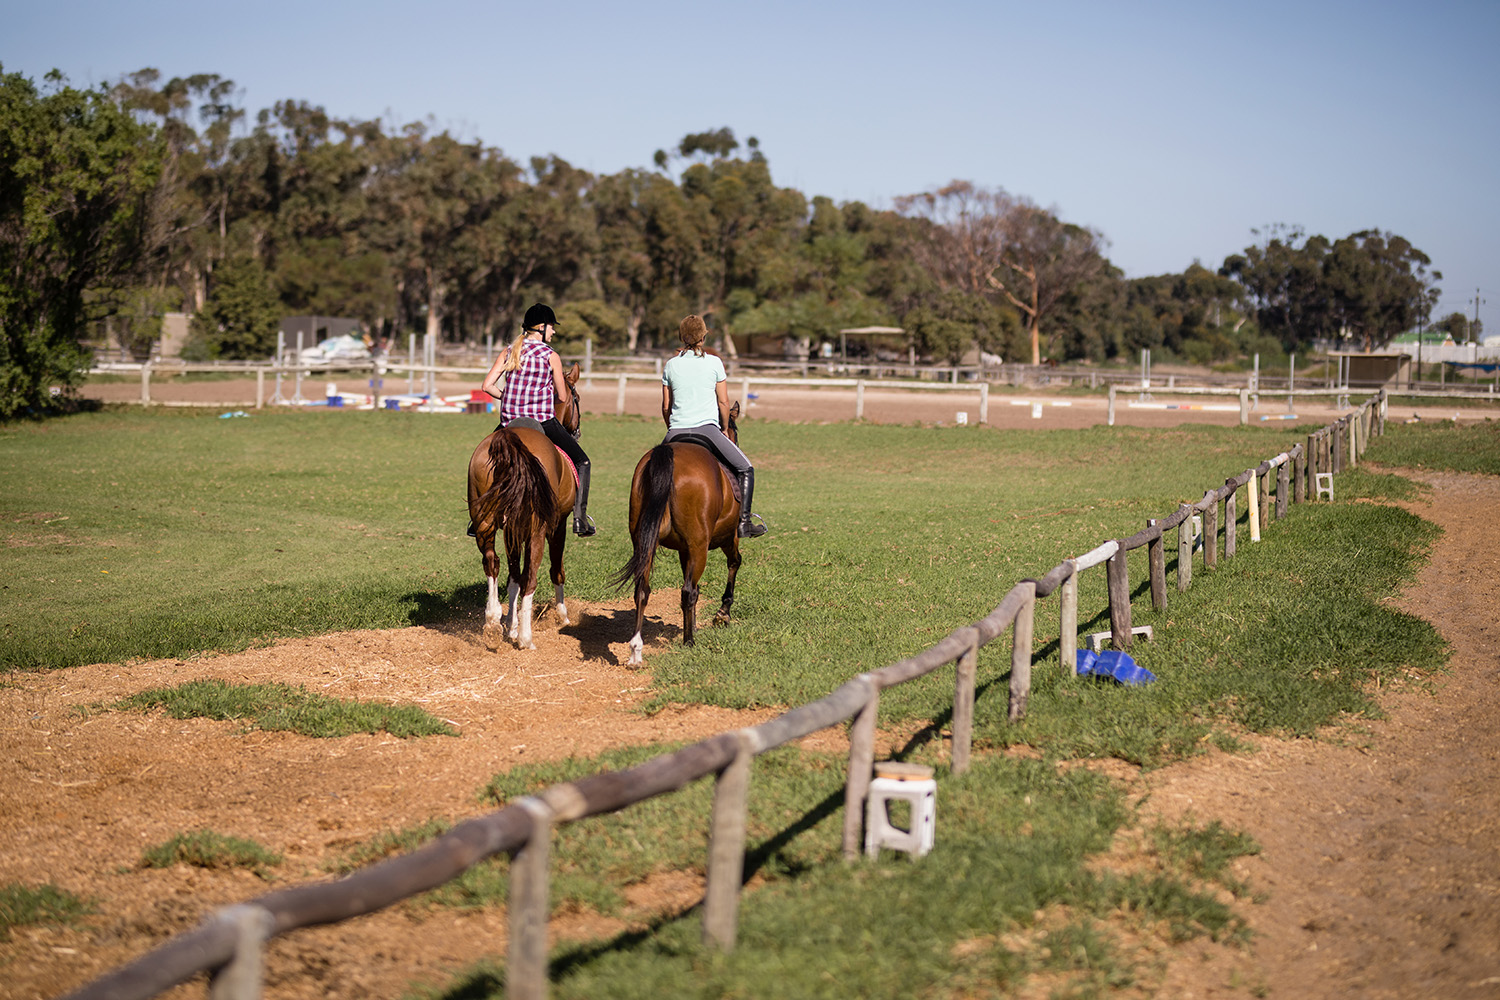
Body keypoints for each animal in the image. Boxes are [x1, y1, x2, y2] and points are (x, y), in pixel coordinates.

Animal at [465, 364, 582, 653]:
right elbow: (554, 570)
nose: (577, 431)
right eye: (576, 398)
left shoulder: (511, 529)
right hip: (537, 529)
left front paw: (510, 624)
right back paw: (526, 638)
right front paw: (560, 616)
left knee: (492, 563)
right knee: (531, 576)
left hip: (485, 521)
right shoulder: (558, 524)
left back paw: (492, 620)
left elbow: (513, 577)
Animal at [612, 398, 747, 665]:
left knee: (642, 590)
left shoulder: (684, 550)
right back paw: (689, 642)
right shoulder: (727, 537)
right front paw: (722, 614)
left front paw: (693, 623)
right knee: (687, 591)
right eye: (735, 431)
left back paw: (636, 650)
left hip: (645, 542)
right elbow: (734, 563)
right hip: (700, 545)